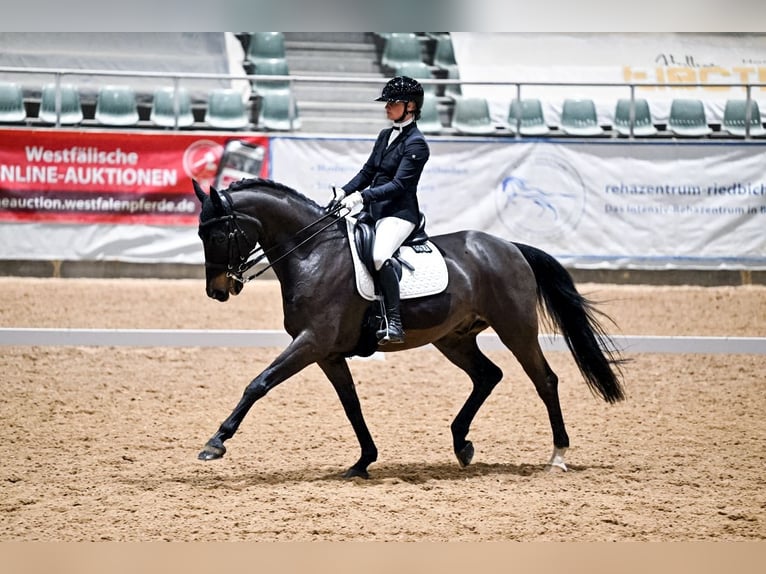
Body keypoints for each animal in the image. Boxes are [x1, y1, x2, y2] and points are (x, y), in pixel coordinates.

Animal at [190, 178, 624, 480]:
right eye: (199, 233)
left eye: (218, 233)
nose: (217, 291)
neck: (312, 254)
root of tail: (509, 246)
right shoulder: (327, 353)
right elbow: (351, 405)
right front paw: (363, 461)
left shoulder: (310, 343)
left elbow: (258, 384)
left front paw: (215, 443)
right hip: (454, 338)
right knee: (488, 375)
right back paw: (462, 444)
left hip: (515, 329)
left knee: (544, 380)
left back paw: (557, 456)